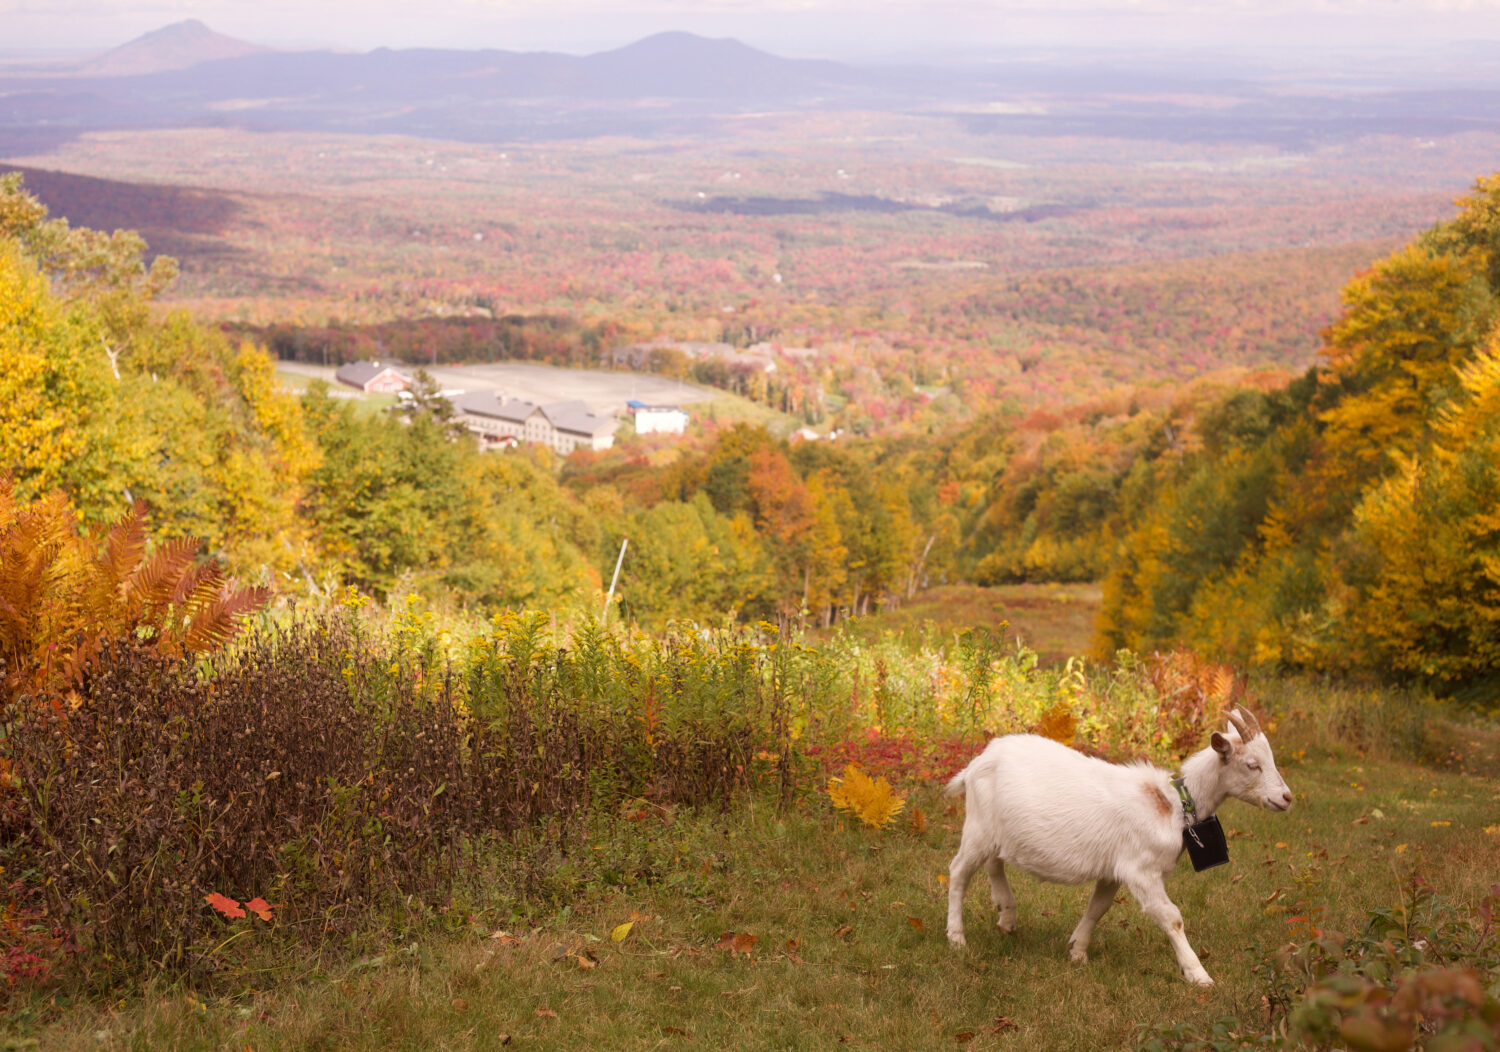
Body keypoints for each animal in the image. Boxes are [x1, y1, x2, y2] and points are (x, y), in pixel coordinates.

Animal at [943, 707, 1291, 986]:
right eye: (1252, 764)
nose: (1287, 797)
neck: (1172, 805)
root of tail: (977, 762)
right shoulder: (1141, 870)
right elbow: (1171, 917)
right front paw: (1198, 975)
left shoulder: (1113, 869)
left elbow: (1098, 908)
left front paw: (1077, 951)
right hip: (977, 827)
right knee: (959, 872)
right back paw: (957, 938)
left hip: (996, 831)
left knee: (994, 862)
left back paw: (1006, 916)